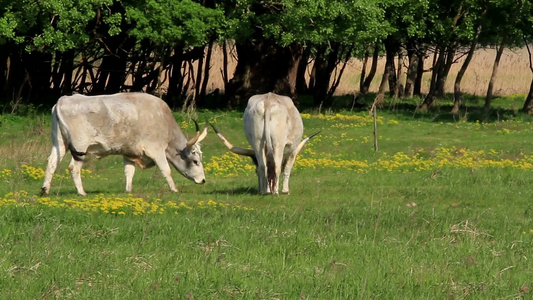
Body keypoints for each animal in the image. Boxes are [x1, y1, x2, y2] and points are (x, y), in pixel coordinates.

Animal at [41, 92, 208, 196]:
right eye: (195, 161)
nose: (203, 180)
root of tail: (63, 99)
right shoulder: (156, 150)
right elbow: (166, 170)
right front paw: (174, 189)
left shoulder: (129, 152)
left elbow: (129, 171)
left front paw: (128, 190)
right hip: (80, 147)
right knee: (73, 168)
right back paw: (81, 192)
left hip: (59, 144)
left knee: (52, 163)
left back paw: (45, 190)